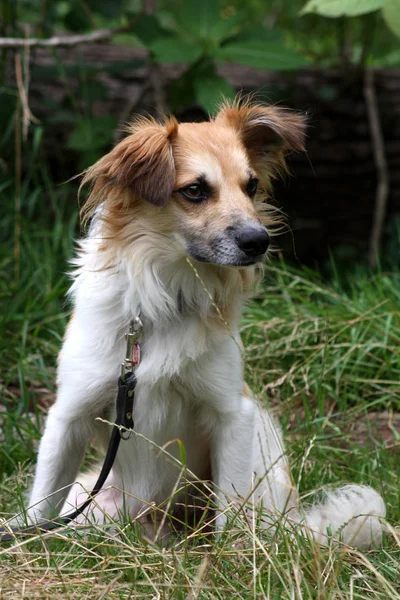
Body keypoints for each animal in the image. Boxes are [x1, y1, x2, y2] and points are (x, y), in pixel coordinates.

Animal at [24, 101, 384, 548]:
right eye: (195, 190)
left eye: (251, 186)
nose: (259, 241)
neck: (165, 299)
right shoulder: (69, 413)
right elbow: (42, 503)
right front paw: (25, 545)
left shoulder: (233, 414)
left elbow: (230, 510)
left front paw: (232, 557)